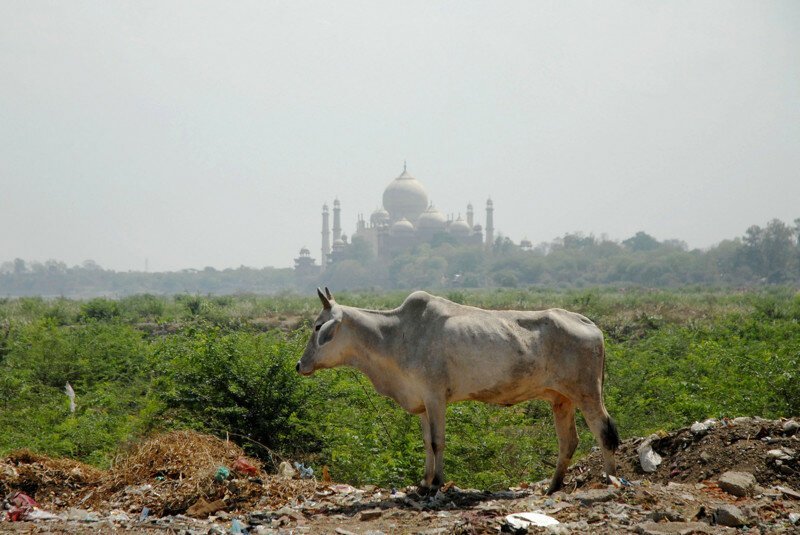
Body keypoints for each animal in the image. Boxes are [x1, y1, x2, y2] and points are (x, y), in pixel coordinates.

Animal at [296, 288, 620, 494]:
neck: (393, 335)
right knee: (569, 441)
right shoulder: (422, 402)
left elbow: (437, 441)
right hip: (561, 399)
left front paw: (437, 484)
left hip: (588, 393)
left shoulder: (435, 396)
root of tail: (589, 323)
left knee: (604, 431)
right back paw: (553, 486)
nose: (299, 365)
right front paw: (424, 483)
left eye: (318, 326)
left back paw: (611, 481)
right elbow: (426, 442)